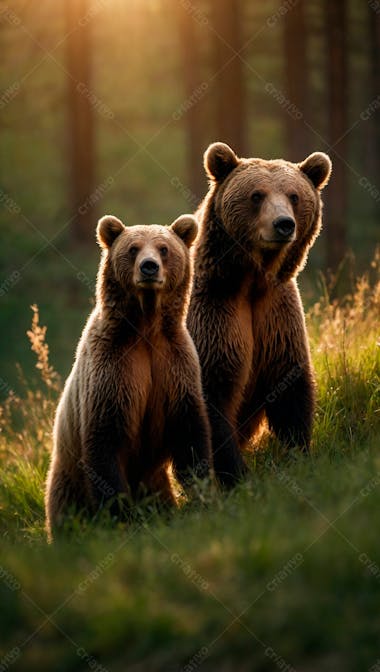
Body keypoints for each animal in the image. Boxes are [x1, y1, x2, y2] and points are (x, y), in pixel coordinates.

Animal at [46, 213, 212, 540]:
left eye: (163, 248)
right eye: (133, 249)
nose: (149, 267)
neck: (145, 329)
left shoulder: (175, 363)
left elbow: (190, 432)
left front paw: (204, 493)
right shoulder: (113, 367)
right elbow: (105, 440)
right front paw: (120, 517)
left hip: (155, 482)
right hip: (66, 478)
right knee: (66, 505)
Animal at [189, 144, 332, 486]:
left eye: (294, 195)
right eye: (257, 195)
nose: (284, 224)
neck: (252, 281)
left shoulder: (276, 314)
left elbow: (290, 388)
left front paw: (299, 455)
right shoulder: (216, 313)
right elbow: (213, 396)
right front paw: (238, 476)